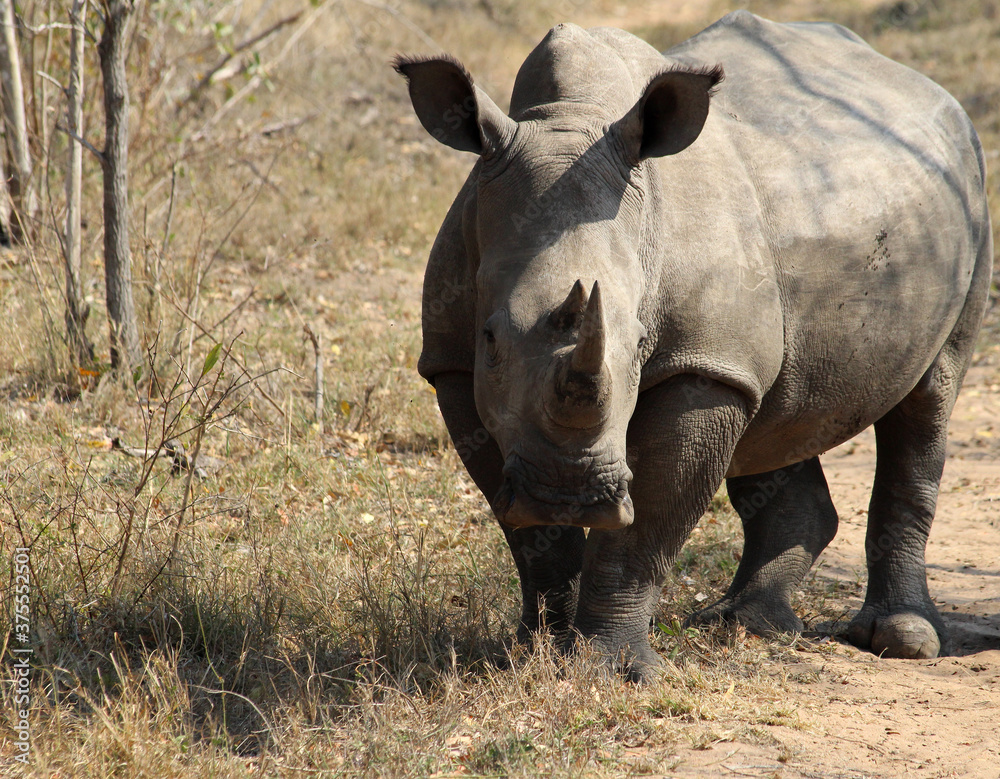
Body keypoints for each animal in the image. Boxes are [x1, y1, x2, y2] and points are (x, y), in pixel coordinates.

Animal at [395, 11, 992, 681]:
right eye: (490, 339)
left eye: (637, 345)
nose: (568, 493)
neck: (568, 115)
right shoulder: (451, 363)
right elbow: (529, 535)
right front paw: (533, 653)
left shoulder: (702, 366)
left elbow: (648, 525)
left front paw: (612, 669)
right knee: (779, 413)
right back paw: (747, 624)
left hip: (969, 192)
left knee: (928, 398)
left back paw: (900, 639)